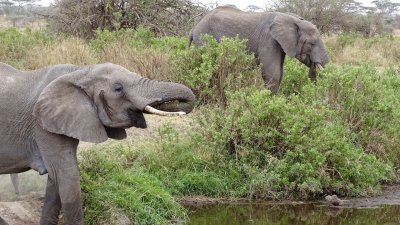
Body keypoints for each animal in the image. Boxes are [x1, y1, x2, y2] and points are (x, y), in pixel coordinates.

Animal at [189, 5, 330, 93]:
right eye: (312, 43)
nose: (314, 64)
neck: (293, 19)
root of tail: (194, 28)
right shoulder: (268, 39)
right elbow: (272, 73)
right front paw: (271, 103)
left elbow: (280, 72)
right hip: (203, 37)